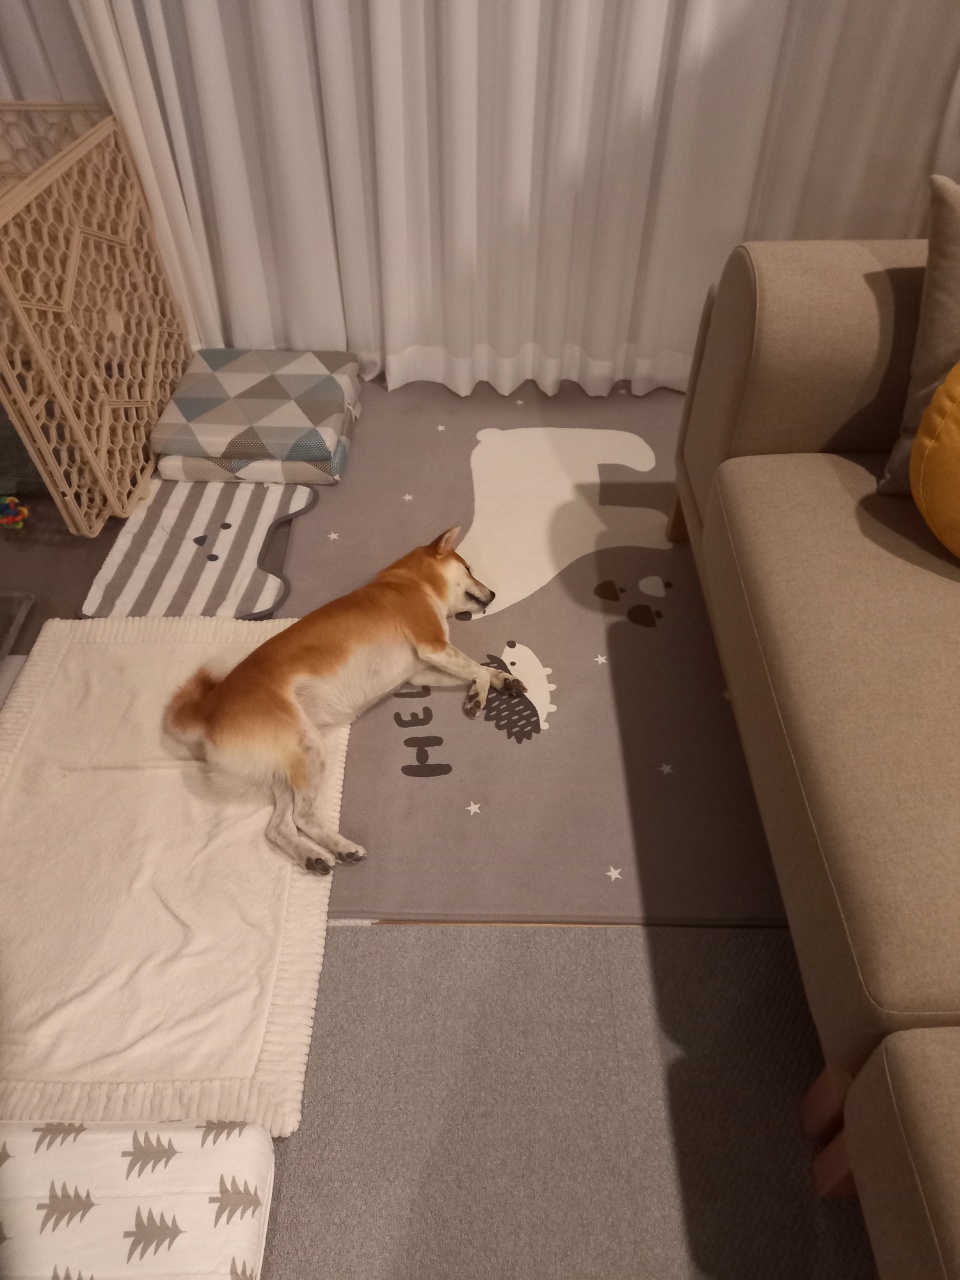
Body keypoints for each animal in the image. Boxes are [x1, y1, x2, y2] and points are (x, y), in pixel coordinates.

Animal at [163, 527, 526, 873]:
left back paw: (313, 857)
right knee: (302, 817)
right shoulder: (432, 646)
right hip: (308, 749)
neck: (411, 584)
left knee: (279, 827)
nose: (494, 594)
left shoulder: (421, 672)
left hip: (287, 767)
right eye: (469, 568)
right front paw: (478, 697)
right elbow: (476, 668)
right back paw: (342, 847)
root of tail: (208, 709)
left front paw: (504, 680)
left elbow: (479, 668)